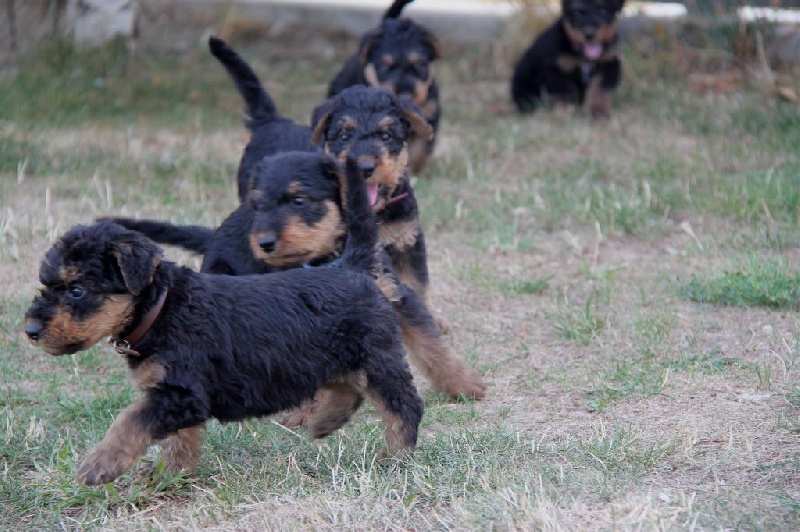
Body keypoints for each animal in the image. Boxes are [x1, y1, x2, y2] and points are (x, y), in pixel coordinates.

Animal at [24, 158, 424, 486]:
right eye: (45, 283)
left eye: (76, 289)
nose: (30, 330)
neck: (163, 308)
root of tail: (352, 265)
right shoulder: (176, 395)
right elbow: (179, 440)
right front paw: (171, 475)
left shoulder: (181, 392)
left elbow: (129, 422)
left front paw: (99, 464)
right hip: (336, 356)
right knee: (347, 389)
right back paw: (327, 421)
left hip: (378, 357)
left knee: (403, 407)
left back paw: (396, 457)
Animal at [110, 151, 486, 400]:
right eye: (258, 204)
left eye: (299, 200)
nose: (264, 243)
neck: (329, 257)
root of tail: (215, 234)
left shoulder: (396, 293)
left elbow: (431, 344)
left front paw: (463, 384)